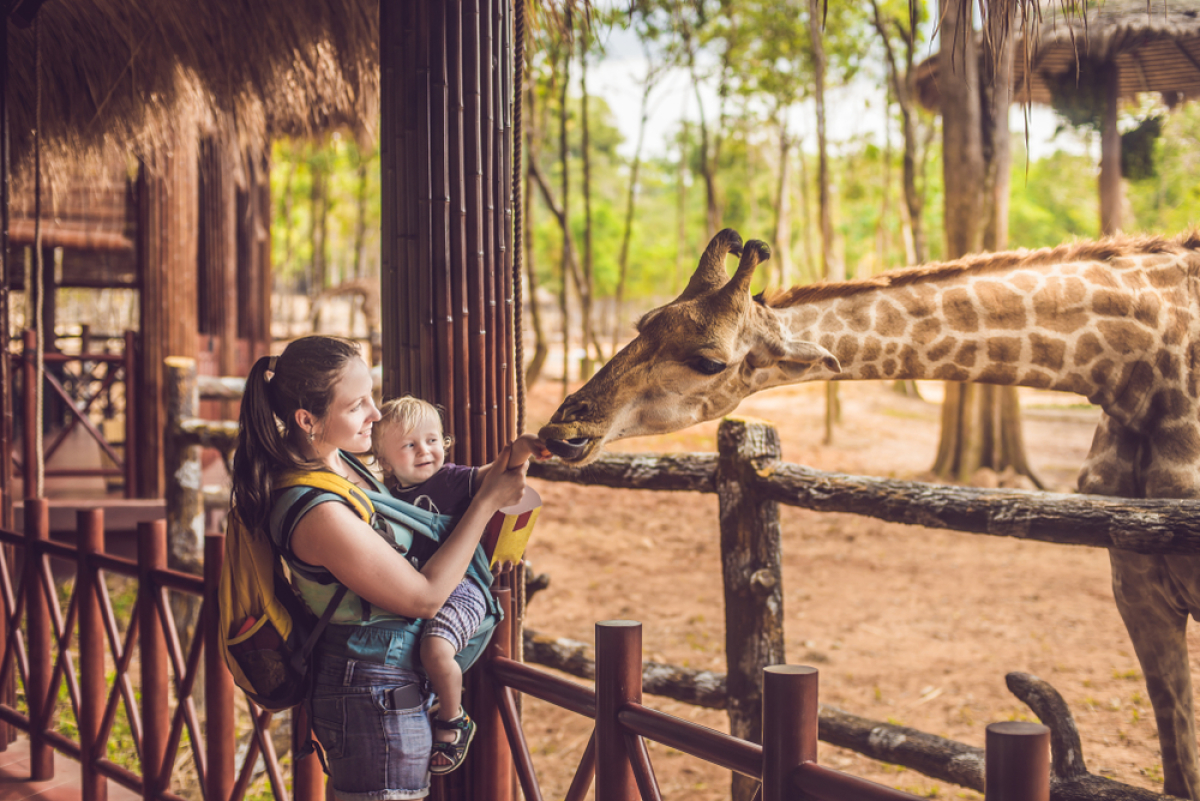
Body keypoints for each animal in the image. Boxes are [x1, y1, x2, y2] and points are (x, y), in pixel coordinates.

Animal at [540, 227, 1200, 796]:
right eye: (642, 323)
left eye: (709, 361)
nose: (562, 430)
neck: (1136, 368)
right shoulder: (1134, 581)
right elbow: (1177, 762)